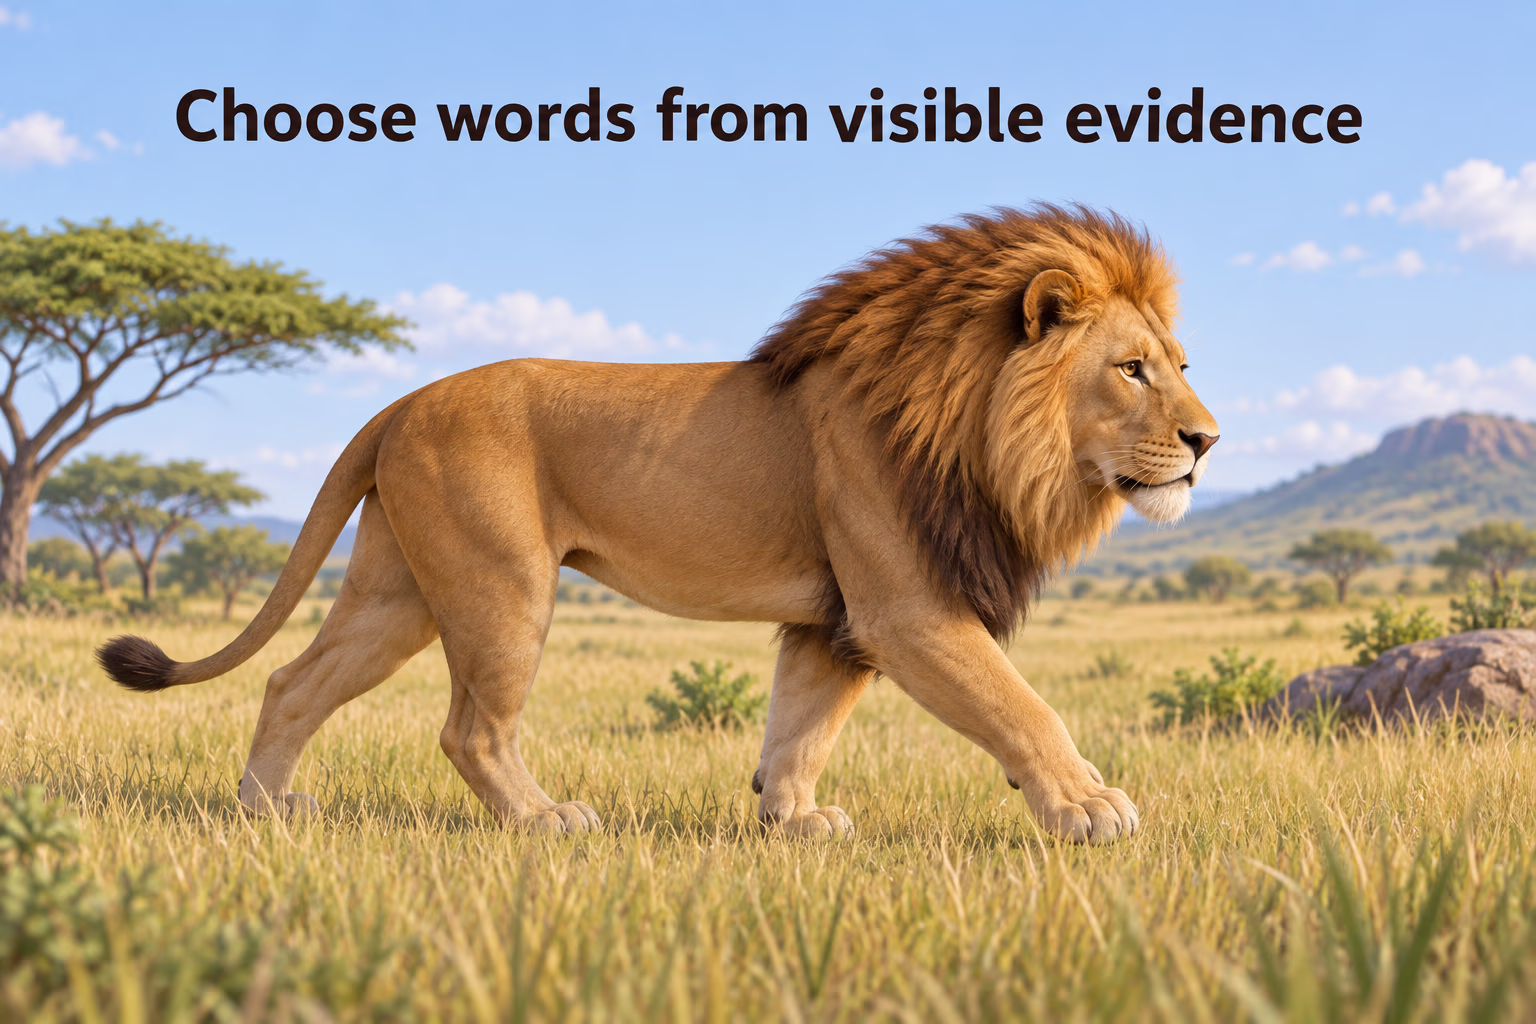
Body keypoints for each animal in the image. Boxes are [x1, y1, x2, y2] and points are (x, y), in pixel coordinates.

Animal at [98, 204, 1218, 844]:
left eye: (1179, 364)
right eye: (1132, 369)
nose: (1208, 440)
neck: (981, 427)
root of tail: (404, 400)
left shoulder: (837, 620)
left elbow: (801, 726)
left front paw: (792, 820)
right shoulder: (907, 608)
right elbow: (1024, 707)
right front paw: (1088, 808)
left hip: (397, 589)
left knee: (294, 682)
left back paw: (264, 811)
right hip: (503, 583)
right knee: (469, 728)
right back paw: (544, 821)